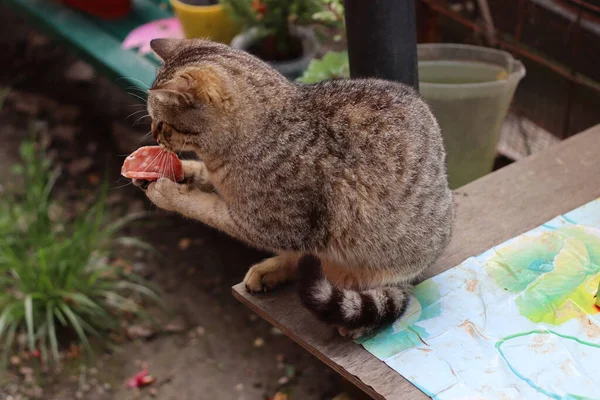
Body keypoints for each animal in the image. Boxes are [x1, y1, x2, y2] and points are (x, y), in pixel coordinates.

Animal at [135, 39, 454, 338]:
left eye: (161, 123)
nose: (153, 134)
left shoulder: (271, 225)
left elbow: (206, 208)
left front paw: (169, 193)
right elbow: (201, 177)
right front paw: (176, 170)